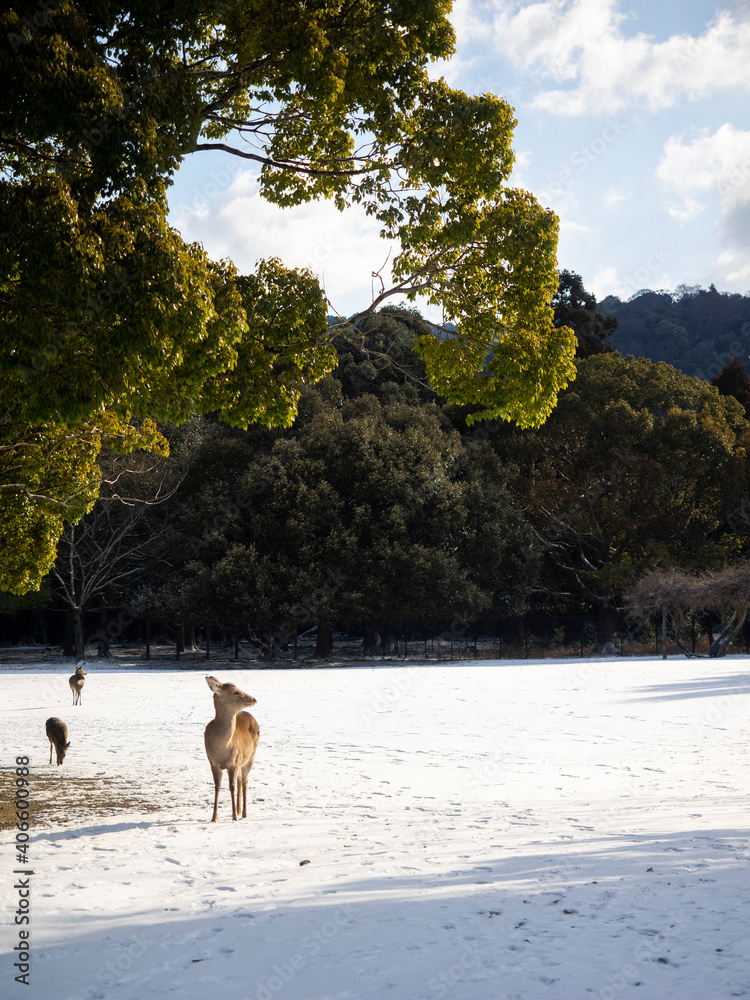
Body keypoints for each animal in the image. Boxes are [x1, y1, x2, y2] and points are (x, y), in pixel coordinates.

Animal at [204, 676, 260, 824]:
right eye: (235, 692)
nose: (254, 699)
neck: (222, 746)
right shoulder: (213, 762)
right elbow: (217, 786)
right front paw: (214, 818)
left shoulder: (233, 762)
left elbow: (231, 786)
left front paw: (234, 817)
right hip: (242, 760)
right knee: (241, 779)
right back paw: (240, 810)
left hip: (251, 757)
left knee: (245, 781)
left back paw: (244, 813)